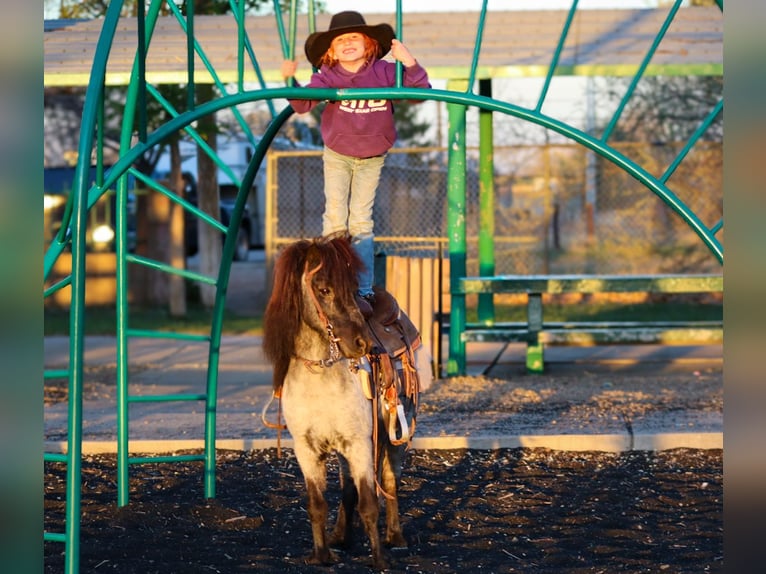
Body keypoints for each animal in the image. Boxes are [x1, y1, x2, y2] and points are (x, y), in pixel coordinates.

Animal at [262, 233, 416, 570]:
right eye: (323, 289)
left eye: (352, 287)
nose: (361, 343)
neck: (319, 378)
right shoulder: (307, 450)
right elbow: (318, 504)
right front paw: (322, 554)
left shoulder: (360, 443)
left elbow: (370, 503)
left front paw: (379, 560)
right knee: (348, 487)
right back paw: (341, 536)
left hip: (398, 432)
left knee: (390, 480)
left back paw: (396, 536)